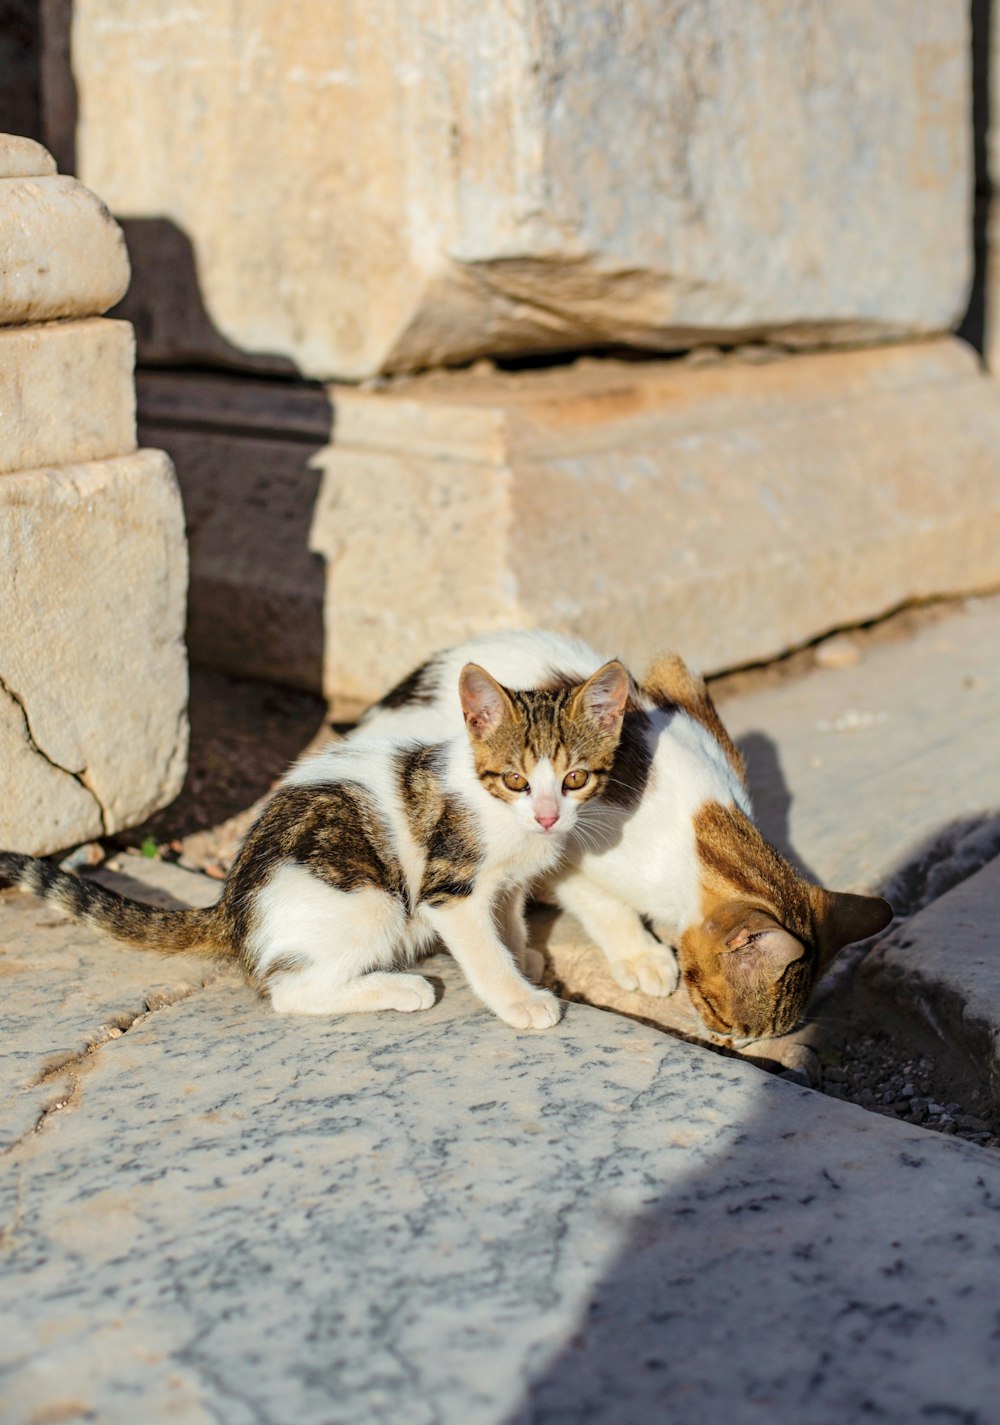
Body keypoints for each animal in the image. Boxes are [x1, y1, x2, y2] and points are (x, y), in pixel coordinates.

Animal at [1, 661, 635, 1031]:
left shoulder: (506, 883)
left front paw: (524, 956)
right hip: (372, 899)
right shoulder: (450, 886)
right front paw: (519, 998)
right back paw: (402, 987)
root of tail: (230, 908)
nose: (549, 817)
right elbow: (482, 950)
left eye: (576, 778)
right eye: (516, 780)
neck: (502, 818)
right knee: (290, 992)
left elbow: (508, 922)